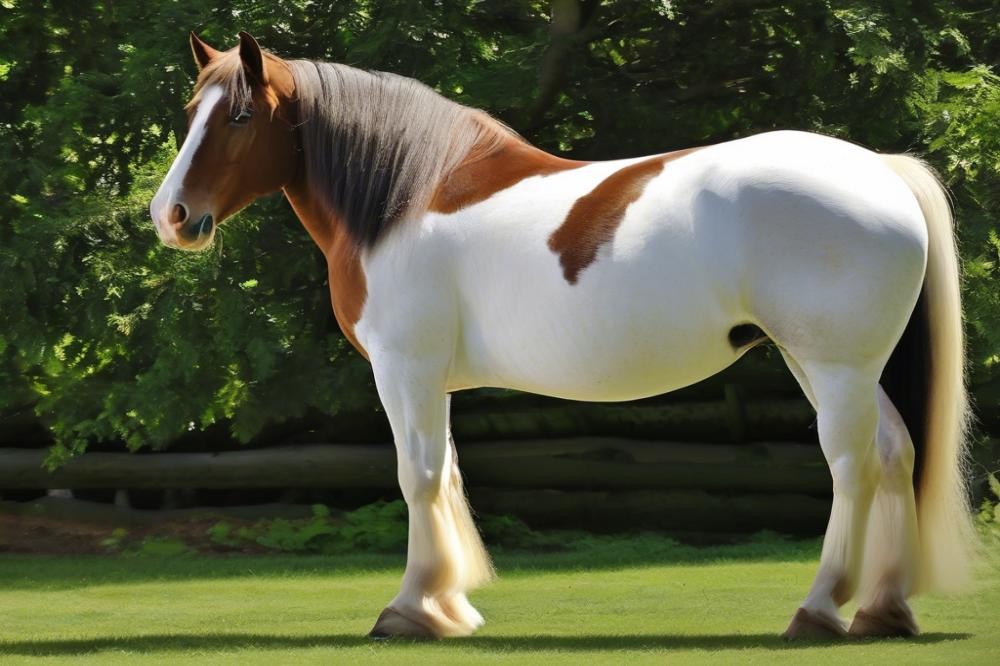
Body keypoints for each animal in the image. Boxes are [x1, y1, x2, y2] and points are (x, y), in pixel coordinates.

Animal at [150, 29, 976, 640]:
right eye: (192, 108)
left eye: (239, 117)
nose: (171, 215)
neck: (404, 196)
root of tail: (880, 170)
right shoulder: (433, 380)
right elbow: (449, 474)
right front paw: (453, 607)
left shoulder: (404, 369)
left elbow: (418, 477)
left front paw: (411, 609)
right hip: (833, 366)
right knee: (896, 454)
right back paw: (883, 610)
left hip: (834, 367)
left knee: (853, 464)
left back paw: (818, 608)